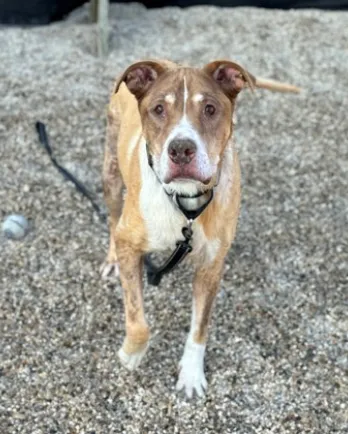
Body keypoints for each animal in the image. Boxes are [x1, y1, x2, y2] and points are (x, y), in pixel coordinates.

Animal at [100, 59, 300, 398]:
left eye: (209, 108)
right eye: (158, 109)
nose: (181, 149)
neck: (185, 202)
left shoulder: (211, 266)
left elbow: (199, 329)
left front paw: (192, 375)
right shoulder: (130, 244)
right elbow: (138, 322)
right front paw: (131, 353)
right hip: (111, 173)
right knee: (113, 219)